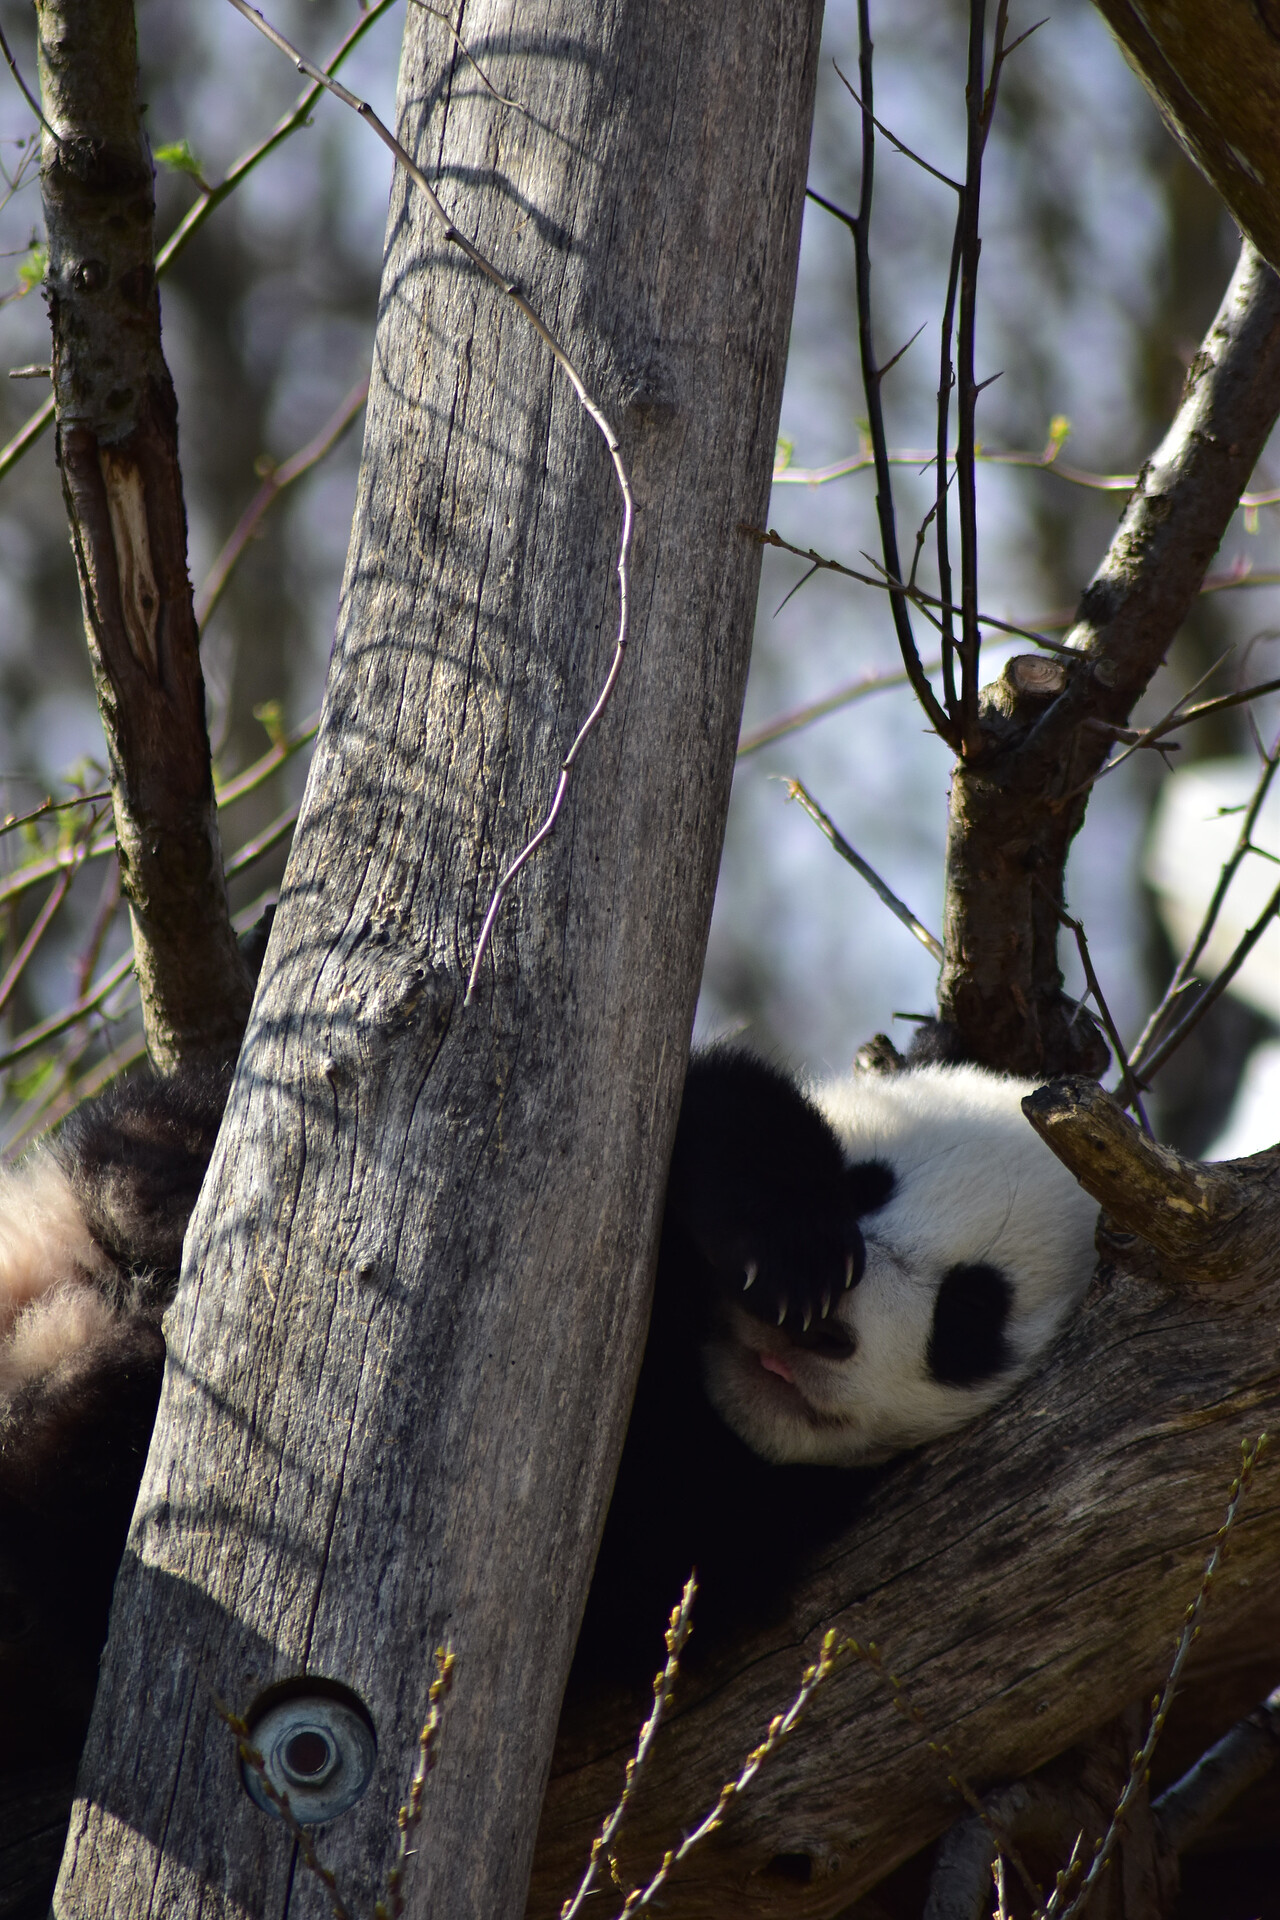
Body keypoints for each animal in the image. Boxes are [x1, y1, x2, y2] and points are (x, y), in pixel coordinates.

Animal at [0, 1052, 1105, 1743]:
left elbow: (650, 1568)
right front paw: (786, 1245)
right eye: (868, 1183)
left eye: (969, 1316)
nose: (821, 1329)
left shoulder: (743, 1525)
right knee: (169, 1137)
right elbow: (708, 1098)